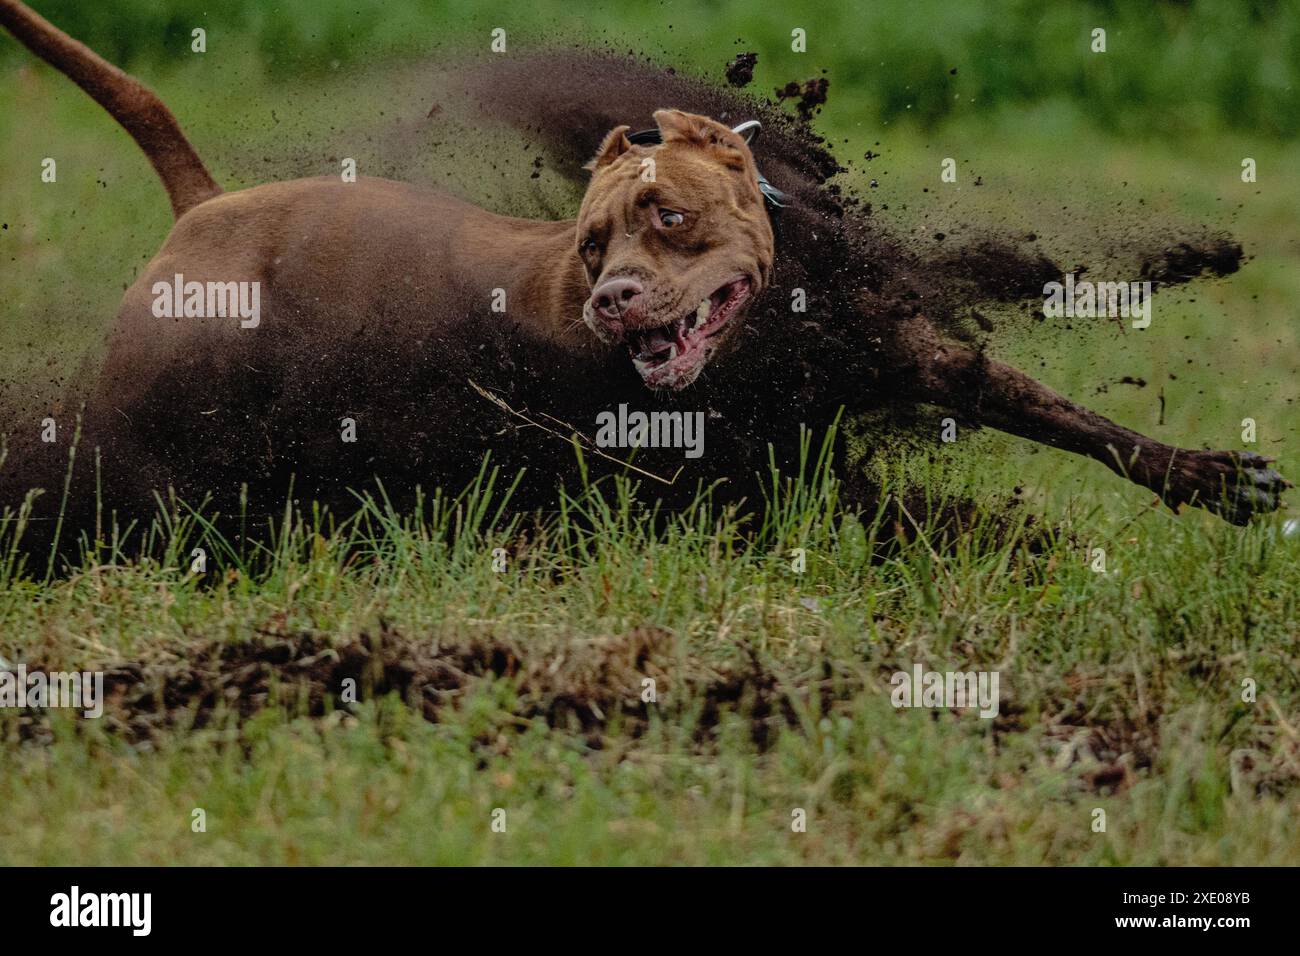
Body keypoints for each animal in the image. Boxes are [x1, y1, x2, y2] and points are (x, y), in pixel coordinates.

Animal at [0, 0, 1284, 530]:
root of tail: (204, 210)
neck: (783, 329)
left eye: (666, 215)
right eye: (588, 243)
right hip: (163, 427)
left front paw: (1211, 474)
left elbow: (1072, 419)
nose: (616, 299)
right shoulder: (749, 468)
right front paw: (1020, 544)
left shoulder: (911, 352)